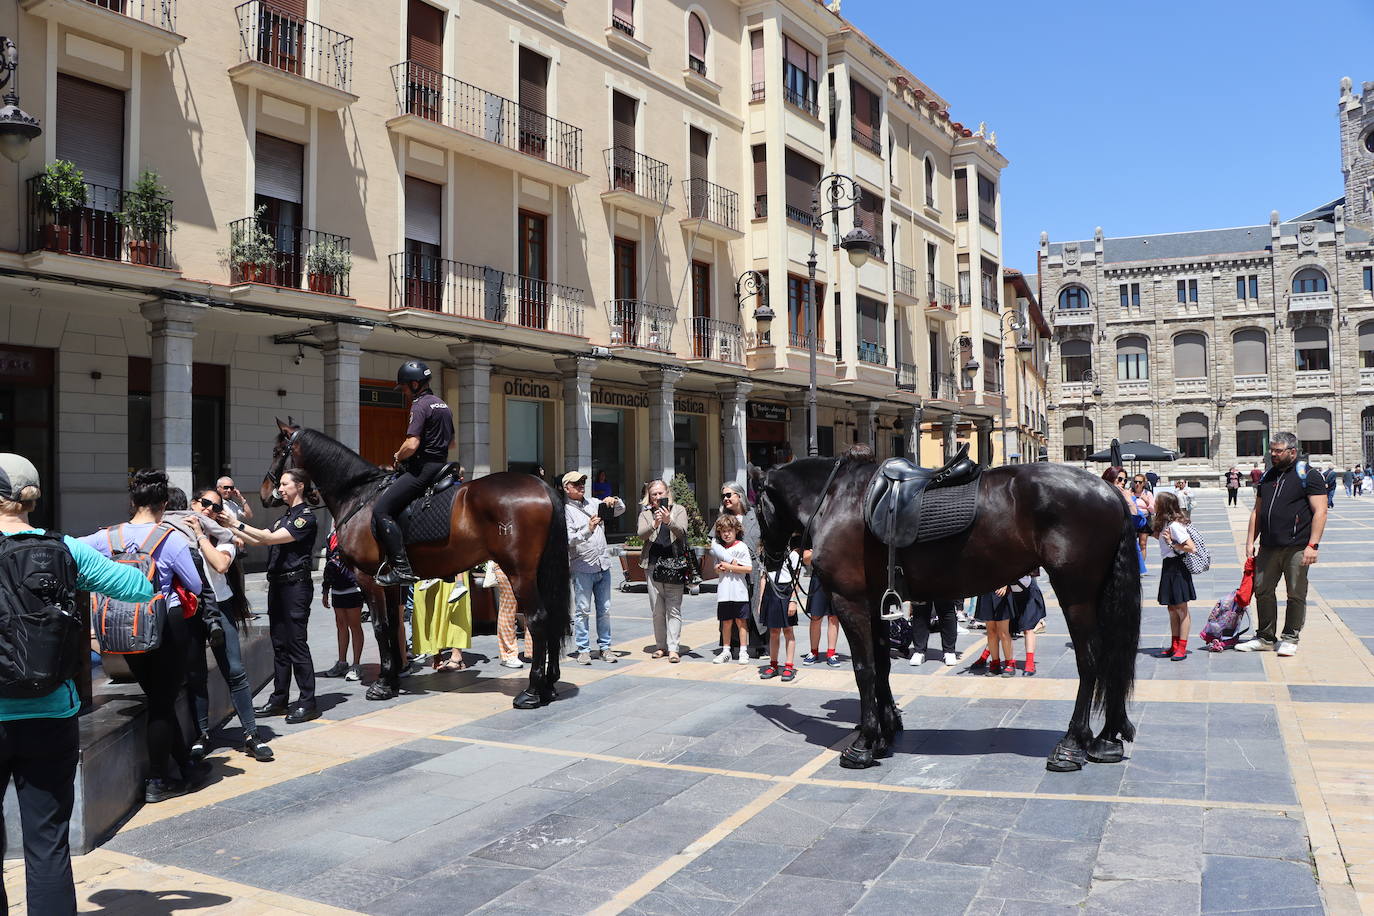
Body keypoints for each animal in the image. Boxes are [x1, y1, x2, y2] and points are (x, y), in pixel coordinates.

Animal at [262, 422, 568, 708]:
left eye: (277, 451)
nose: (266, 493)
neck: (359, 495)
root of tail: (542, 487)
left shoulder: (367, 578)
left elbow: (380, 626)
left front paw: (382, 684)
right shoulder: (389, 582)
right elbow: (394, 625)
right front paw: (393, 678)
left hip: (519, 573)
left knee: (538, 619)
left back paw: (532, 691)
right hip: (539, 572)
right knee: (553, 615)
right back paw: (549, 685)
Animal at [752, 455, 1137, 769]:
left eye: (755, 507)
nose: (767, 558)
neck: (838, 499)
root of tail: (1107, 488)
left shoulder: (851, 602)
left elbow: (864, 669)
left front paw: (863, 744)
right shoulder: (876, 603)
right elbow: (883, 665)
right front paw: (885, 733)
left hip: (1075, 594)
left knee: (1090, 661)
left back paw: (1071, 744)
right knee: (1111, 658)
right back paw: (1106, 739)